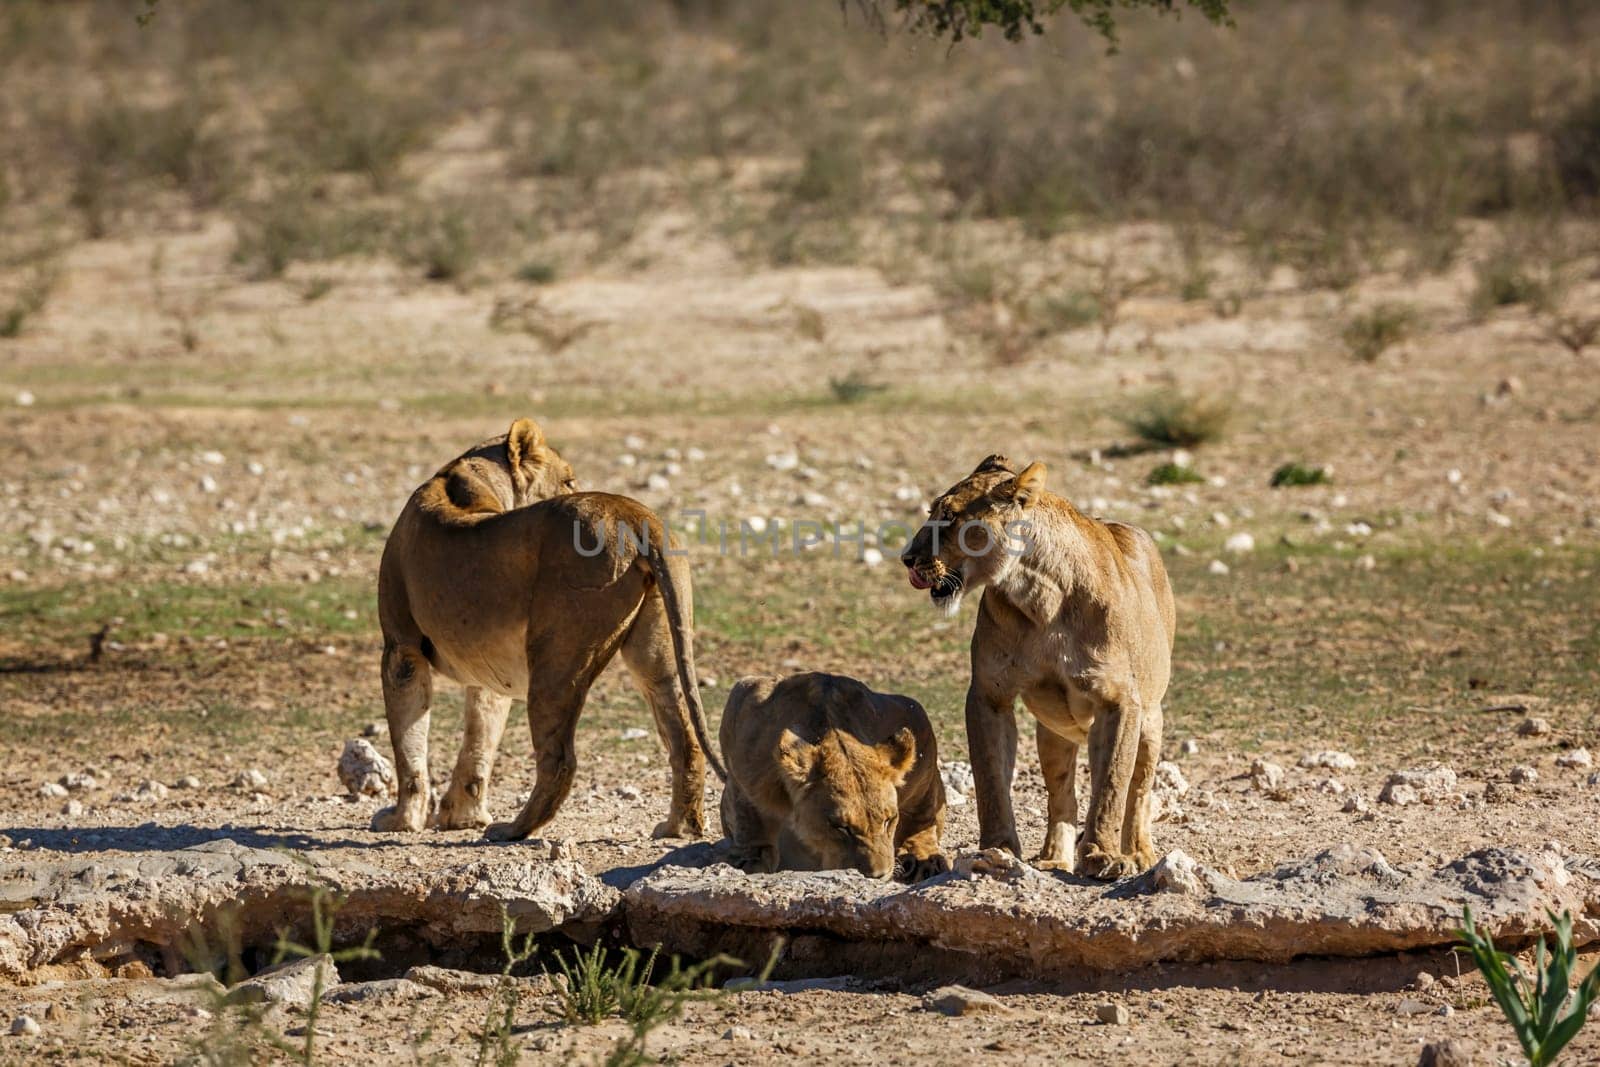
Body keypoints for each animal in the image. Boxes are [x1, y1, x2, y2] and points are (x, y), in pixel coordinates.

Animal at [371, 415, 723, 844]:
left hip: (557, 657)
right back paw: (678, 826)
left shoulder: (400, 649)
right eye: (568, 479)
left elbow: (410, 744)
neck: (464, 479)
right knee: (684, 739)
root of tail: (634, 515)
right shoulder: (491, 666)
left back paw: (513, 829)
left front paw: (403, 820)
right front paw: (464, 815)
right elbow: (479, 739)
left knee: (559, 759)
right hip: (656, 653)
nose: (577, 483)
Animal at [716, 671, 947, 883]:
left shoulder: (917, 722)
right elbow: (747, 814)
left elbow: (921, 812)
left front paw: (920, 856)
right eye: (841, 827)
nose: (878, 875)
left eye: (888, 820)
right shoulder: (743, 719)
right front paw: (750, 859)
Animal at [902, 454, 1177, 883]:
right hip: (1053, 734)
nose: (907, 559)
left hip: (1150, 721)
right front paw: (997, 850)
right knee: (1061, 795)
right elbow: (991, 779)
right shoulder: (989, 695)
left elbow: (1112, 786)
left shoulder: (1121, 702)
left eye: (948, 516)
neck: (1039, 595)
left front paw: (1103, 856)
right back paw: (1054, 859)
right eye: (933, 512)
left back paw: (1138, 852)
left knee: (1139, 790)